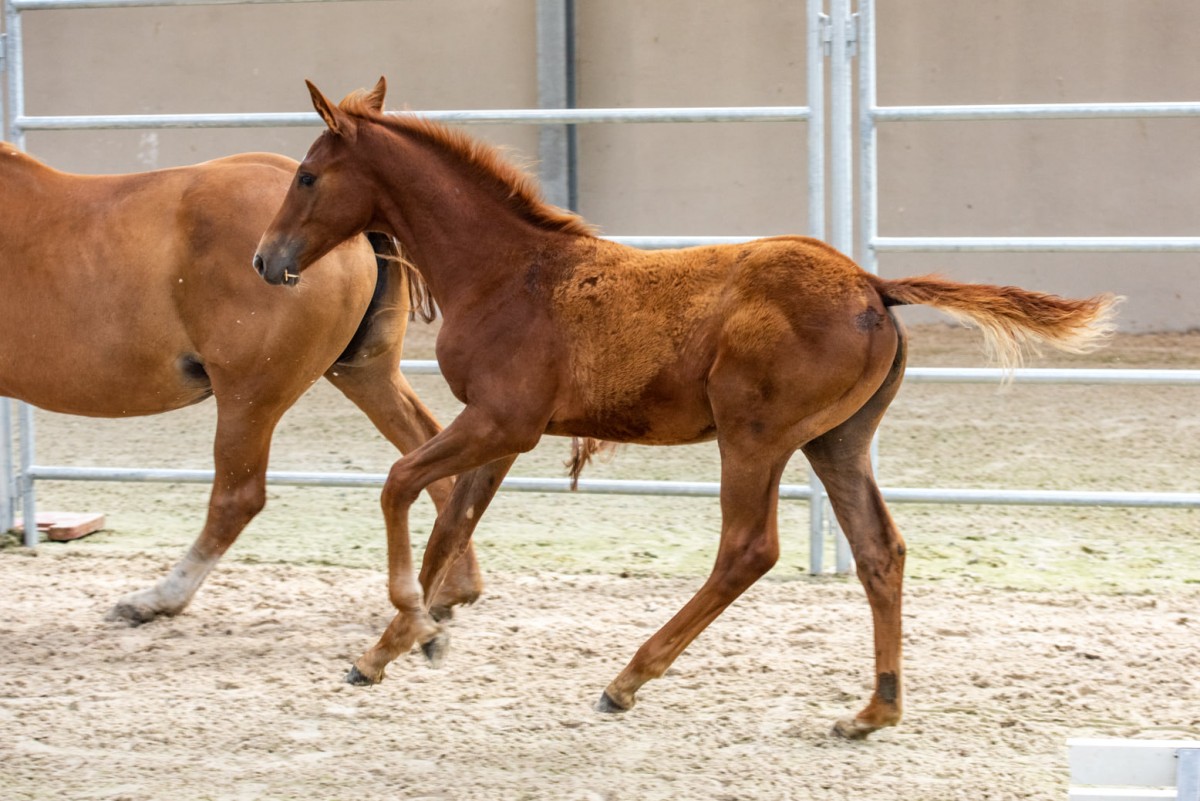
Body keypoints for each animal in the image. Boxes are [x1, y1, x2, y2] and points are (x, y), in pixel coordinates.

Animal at [0, 143, 484, 625]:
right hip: (363, 373)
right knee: (427, 449)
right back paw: (447, 591)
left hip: (250, 396)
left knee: (237, 498)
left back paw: (156, 599)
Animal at [253, 77, 1120, 739]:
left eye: (307, 176)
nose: (267, 259)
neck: (510, 273)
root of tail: (873, 287)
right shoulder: (499, 436)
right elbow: (451, 522)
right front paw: (401, 643)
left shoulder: (502, 422)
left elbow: (401, 482)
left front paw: (406, 626)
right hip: (838, 442)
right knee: (880, 550)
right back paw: (872, 710)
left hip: (755, 436)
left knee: (748, 549)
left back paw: (628, 678)